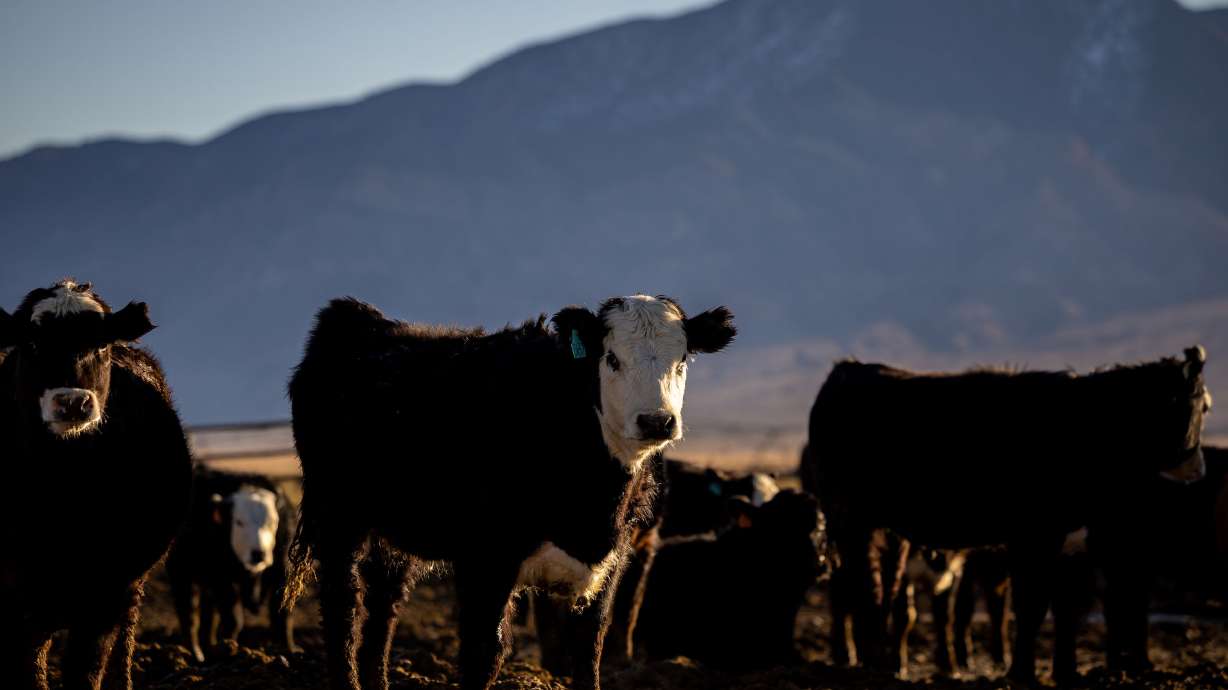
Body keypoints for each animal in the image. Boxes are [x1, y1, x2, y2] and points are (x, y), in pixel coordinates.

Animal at [166, 468, 297, 662]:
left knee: (208, 615)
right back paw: (196, 654)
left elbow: (282, 614)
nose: (259, 553)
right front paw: (229, 651)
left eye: (272, 522)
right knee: (188, 614)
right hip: (182, 574)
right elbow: (234, 619)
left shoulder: (281, 572)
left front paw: (288, 650)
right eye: (239, 522)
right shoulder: (220, 578)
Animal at [284, 294, 736, 690]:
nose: (656, 421)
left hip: (395, 530)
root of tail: (358, 317)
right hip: (338, 514)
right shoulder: (485, 560)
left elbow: (589, 650)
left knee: (385, 605)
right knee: (343, 607)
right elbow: (485, 653)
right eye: (611, 359)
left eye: (682, 360)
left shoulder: (613, 560)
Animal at [808, 348, 1210, 684]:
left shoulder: (1067, 541)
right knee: (857, 586)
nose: (1197, 470)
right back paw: (865, 660)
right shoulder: (1033, 534)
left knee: (884, 587)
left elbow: (1062, 607)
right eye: (1187, 405)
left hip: (888, 530)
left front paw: (1062, 672)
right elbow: (1030, 604)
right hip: (848, 518)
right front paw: (1022, 672)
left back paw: (880, 661)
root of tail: (846, 369)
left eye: (1204, 407)